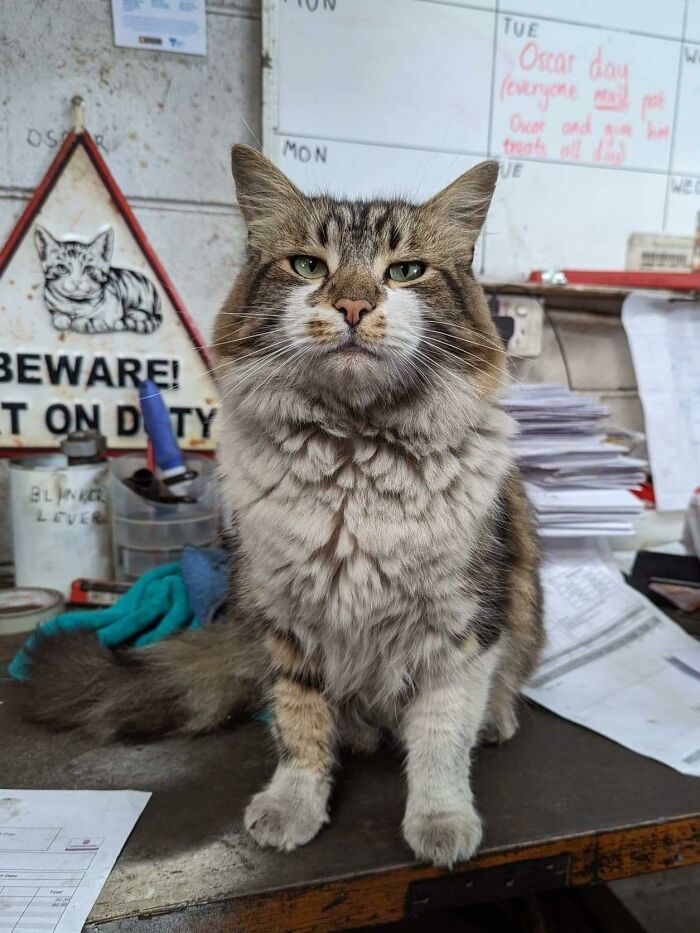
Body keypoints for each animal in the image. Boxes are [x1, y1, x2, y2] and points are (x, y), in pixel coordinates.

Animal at [35, 226, 163, 334]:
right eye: (62, 268)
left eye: (88, 269)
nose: (76, 282)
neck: (76, 305)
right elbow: (58, 315)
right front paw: (62, 318)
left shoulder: (113, 312)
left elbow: (98, 322)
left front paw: (83, 322)